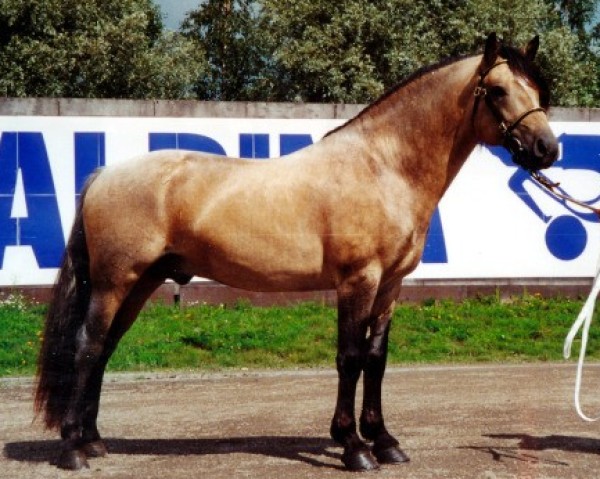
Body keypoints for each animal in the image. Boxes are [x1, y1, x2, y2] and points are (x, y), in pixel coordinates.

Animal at [32, 33, 556, 472]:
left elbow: (376, 358)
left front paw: (385, 441)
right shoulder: (358, 280)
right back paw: (74, 449)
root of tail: (104, 174)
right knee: (87, 346)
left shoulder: (391, 284)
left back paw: (94, 440)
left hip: (140, 284)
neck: (383, 167)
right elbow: (350, 357)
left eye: (536, 89)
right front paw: (354, 448)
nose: (547, 149)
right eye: (498, 91)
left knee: (104, 349)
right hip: (114, 282)